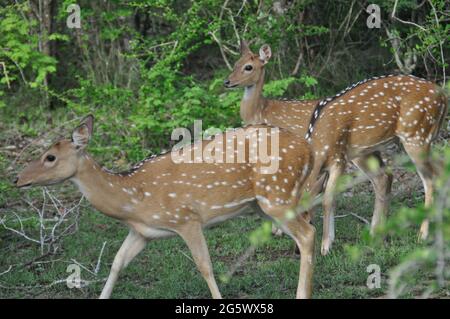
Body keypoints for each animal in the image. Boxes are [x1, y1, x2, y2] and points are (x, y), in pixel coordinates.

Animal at [14, 115, 316, 300]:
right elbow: (117, 263)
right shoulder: (142, 232)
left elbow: (204, 266)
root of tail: (308, 149)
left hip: (276, 195)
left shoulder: (186, 218)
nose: (17, 179)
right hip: (270, 202)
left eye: (50, 157)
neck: (133, 200)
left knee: (307, 234)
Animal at [225, 39, 446, 255]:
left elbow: (326, 198)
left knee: (427, 179)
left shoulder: (334, 159)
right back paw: (380, 233)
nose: (227, 82)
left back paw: (422, 234)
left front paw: (325, 245)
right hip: (397, 143)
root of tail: (443, 96)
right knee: (402, 174)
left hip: (414, 135)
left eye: (248, 67)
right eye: (234, 64)